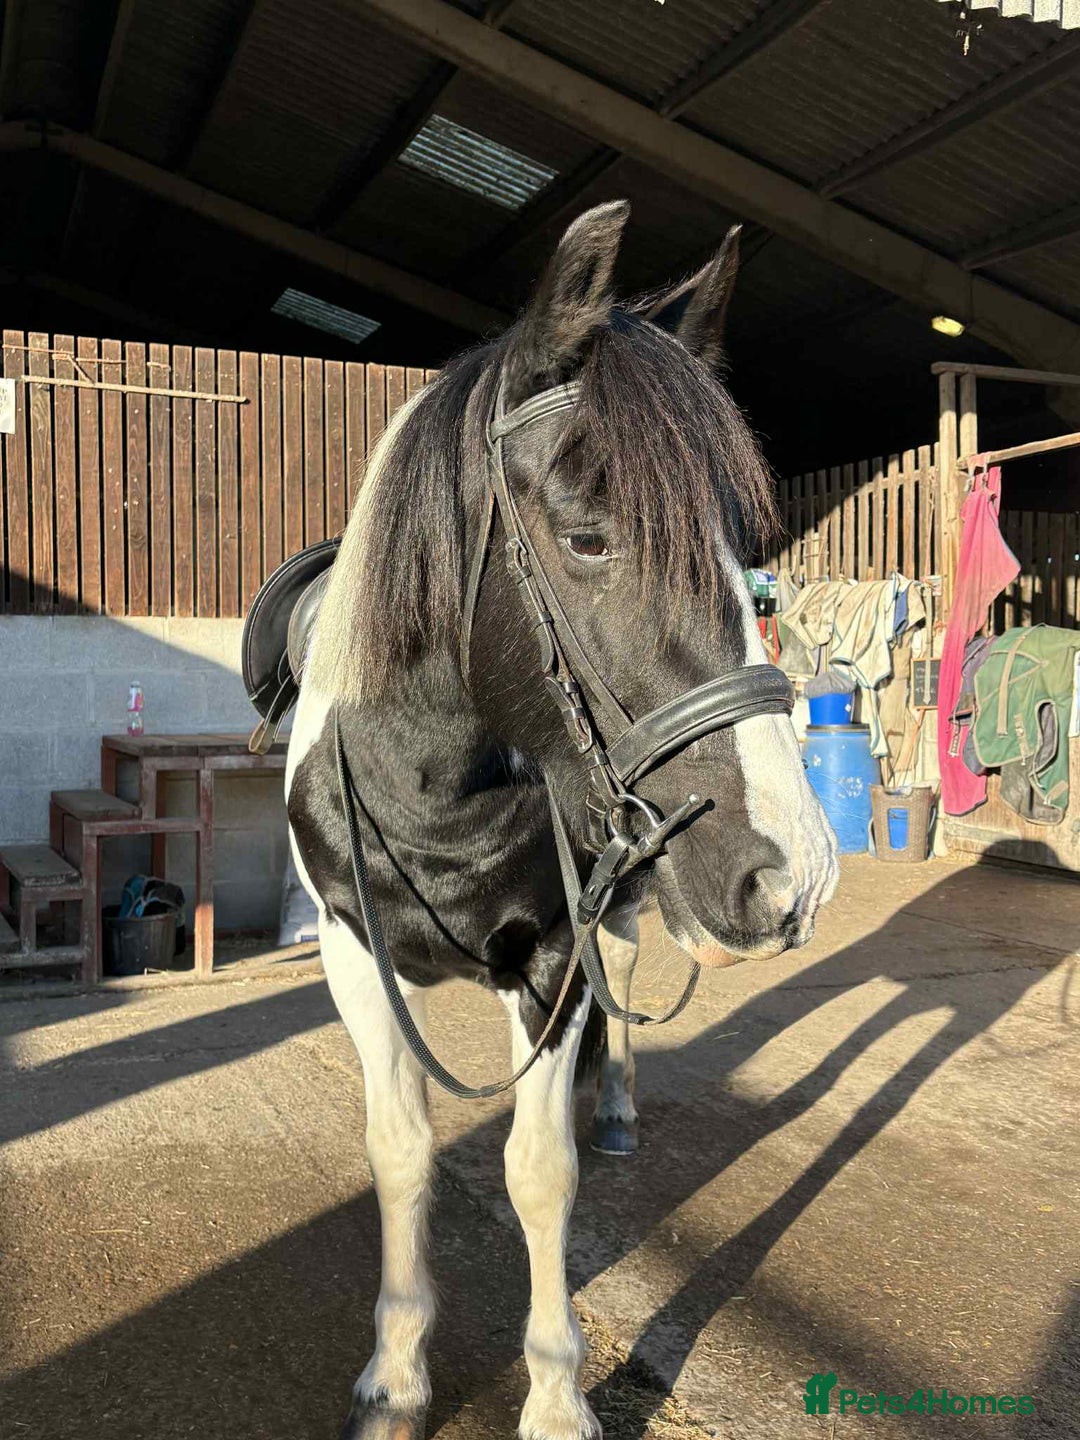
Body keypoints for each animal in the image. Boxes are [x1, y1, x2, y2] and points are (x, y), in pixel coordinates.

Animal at [284, 200, 838, 1440]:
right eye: (589, 538)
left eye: (748, 557)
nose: (796, 874)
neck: (436, 785)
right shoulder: (351, 953)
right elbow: (402, 1151)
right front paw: (397, 1373)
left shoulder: (552, 958)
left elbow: (541, 1172)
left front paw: (551, 1393)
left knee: (625, 992)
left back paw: (620, 1108)